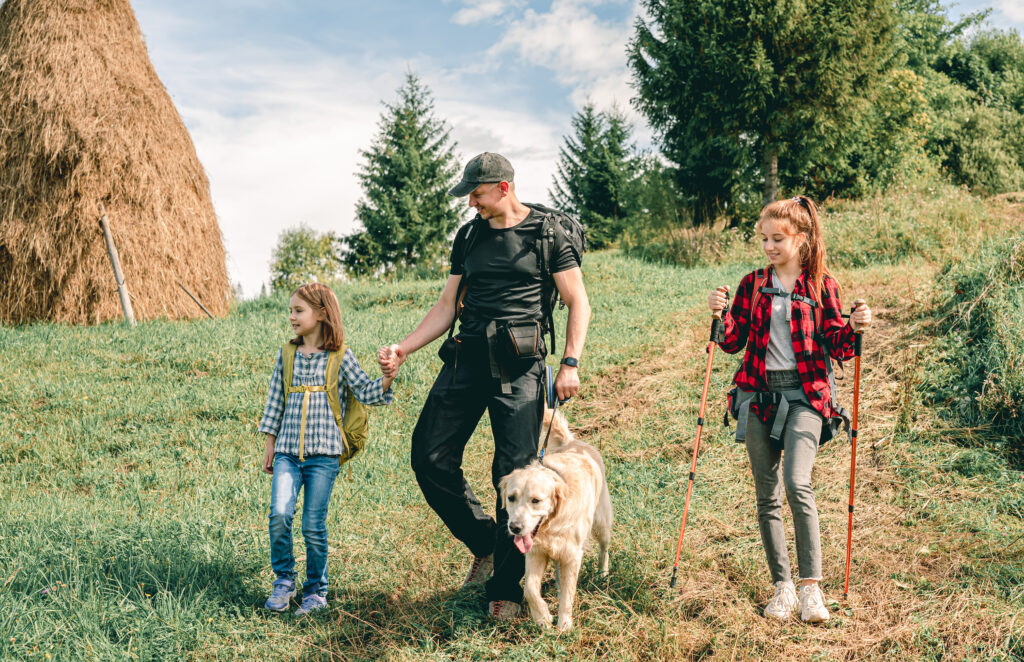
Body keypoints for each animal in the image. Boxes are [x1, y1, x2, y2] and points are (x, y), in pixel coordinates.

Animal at [499, 409, 610, 631]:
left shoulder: (572, 554)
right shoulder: (535, 553)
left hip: (601, 522)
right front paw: (543, 617)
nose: (515, 527)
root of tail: (573, 441)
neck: (552, 525)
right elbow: (530, 588)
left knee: (604, 548)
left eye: (536, 500)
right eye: (511, 498)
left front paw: (564, 625)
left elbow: (568, 594)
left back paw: (602, 573)